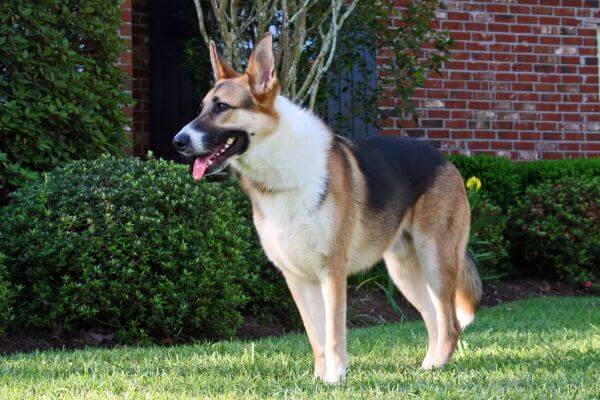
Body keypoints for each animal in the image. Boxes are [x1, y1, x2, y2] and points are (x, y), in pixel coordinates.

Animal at [171, 32, 480, 382]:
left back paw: (438, 365)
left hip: (435, 260)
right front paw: (319, 378)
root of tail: (444, 160)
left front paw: (335, 378)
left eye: (222, 107)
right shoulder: (297, 277)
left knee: (450, 323)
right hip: (404, 271)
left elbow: (333, 333)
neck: (279, 167)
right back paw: (428, 367)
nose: (177, 142)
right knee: (433, 318)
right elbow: (315, 336)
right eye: (202, 108)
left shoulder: (332, 271)